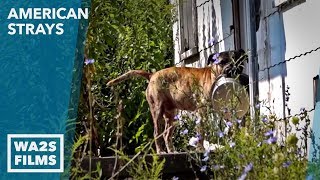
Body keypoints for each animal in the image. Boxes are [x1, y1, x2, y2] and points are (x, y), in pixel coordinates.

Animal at [107, 49, 248, 153]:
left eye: (238, 60)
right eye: (222, 62)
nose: (231, 69)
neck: (213, 75)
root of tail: (152, 75)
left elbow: (232, 127)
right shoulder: (201, 111)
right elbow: (201, 132)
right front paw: (200, 149)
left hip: (171, 116)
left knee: (166, 135)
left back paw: (171, 151)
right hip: (157, 111)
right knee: (157, 133)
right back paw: (160, 151)